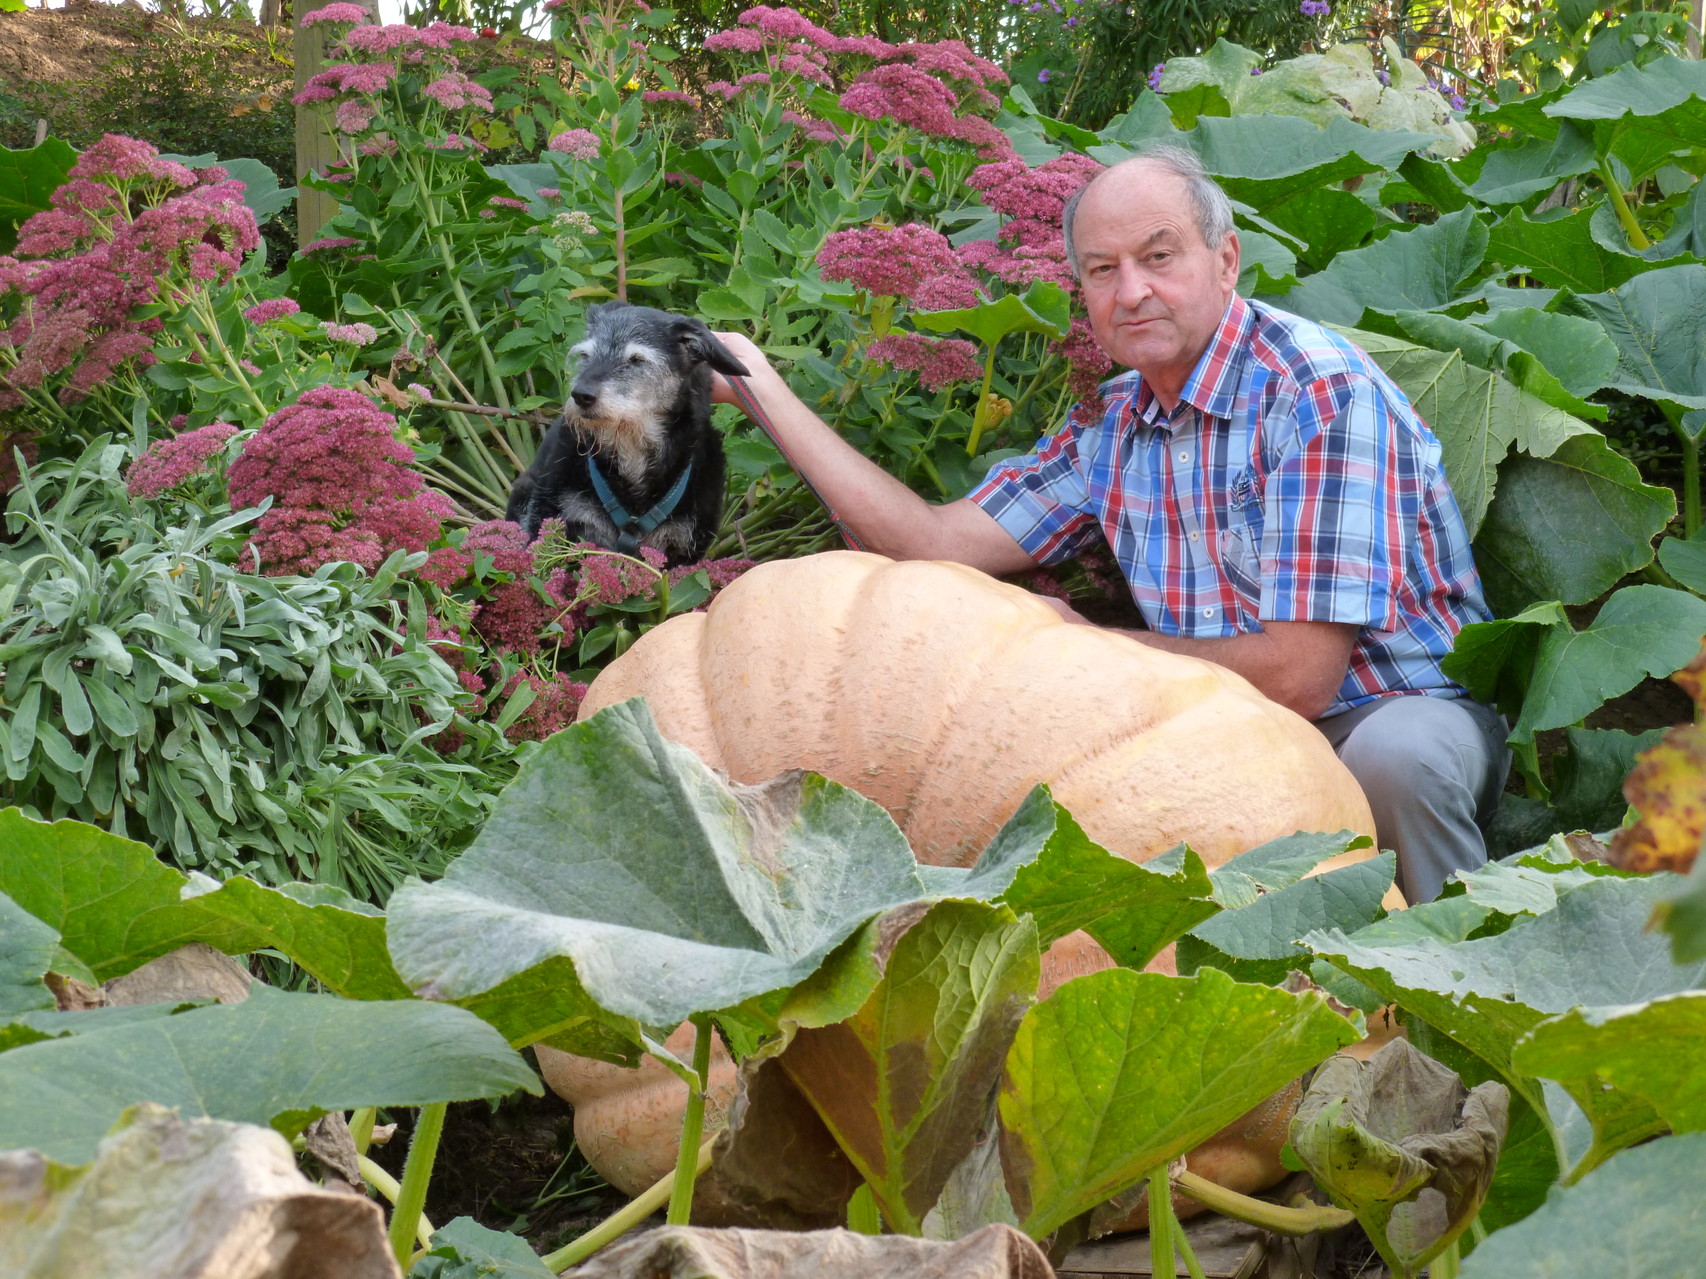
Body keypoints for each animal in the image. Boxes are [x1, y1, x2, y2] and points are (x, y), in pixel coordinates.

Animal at [501, 303, 750, 569]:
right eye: (586, 355)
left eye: (637, 360)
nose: (581, 395)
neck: (631, 449)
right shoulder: (550, 516)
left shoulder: (684, 551)